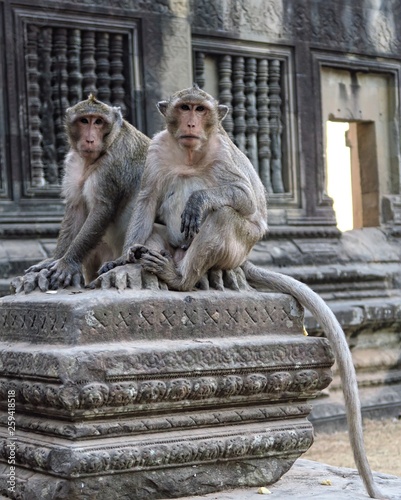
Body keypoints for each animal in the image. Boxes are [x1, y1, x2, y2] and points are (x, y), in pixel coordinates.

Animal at [13, 94, 150, 292]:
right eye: (84, 121)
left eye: (99, 122)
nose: (90, 140)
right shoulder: (73, 162)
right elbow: (76, 208)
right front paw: (55, 259)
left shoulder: (114, 163)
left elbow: (103, 208)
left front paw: (67, 263)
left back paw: (121, 259)